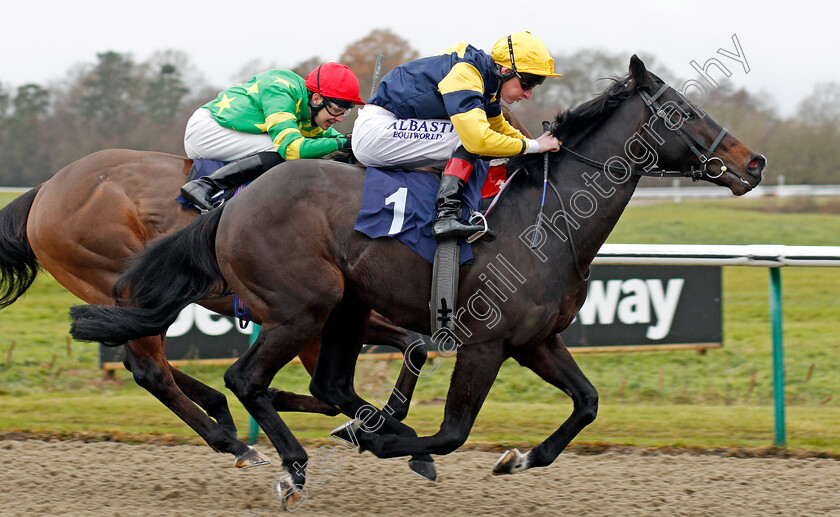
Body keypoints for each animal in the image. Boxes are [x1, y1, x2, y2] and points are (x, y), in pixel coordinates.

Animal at [70, 55, 768, 504]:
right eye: (681, 110)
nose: (755, 161)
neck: (546, 221)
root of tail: (231, 204)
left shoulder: (537, 340)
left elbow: (588, 403)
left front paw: (519, 458)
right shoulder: (485, 343)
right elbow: (456, 431)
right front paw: (394, 446)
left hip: (345, 309)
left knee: (325, 383)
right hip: (302, 308)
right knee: (243, 379)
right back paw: (290, 461)